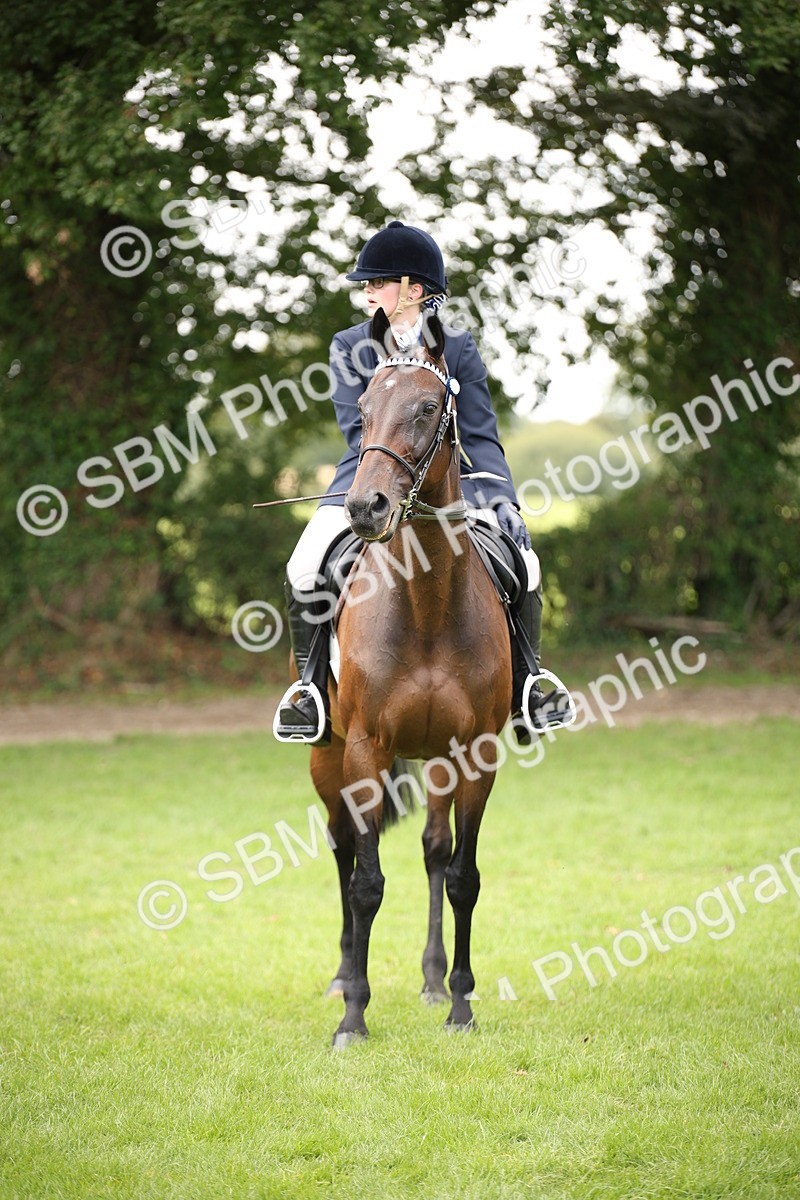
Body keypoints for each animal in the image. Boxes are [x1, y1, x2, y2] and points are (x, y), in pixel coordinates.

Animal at [310, 308, 513, 1047]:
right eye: (363, 410)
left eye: (428, 408)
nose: (365, 509)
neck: (424, 603)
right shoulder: (365, 748)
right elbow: (367, 883)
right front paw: (353, 1017)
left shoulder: (475, 754)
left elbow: (462, 875)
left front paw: (460, 1004)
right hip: (327, 757)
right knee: (344, 850)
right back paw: (343, 974)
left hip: (437, 761)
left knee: (433, 849)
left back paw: (430, 980)